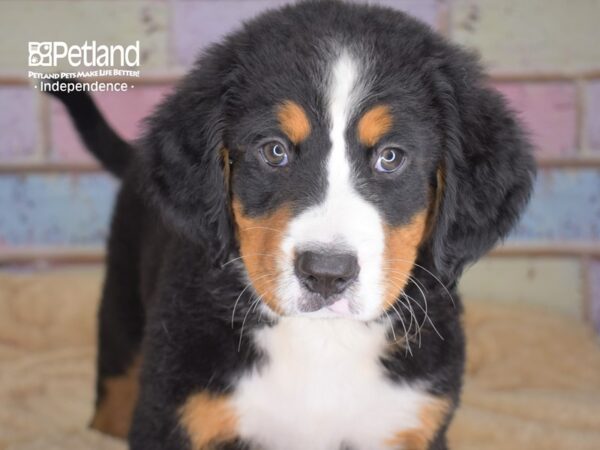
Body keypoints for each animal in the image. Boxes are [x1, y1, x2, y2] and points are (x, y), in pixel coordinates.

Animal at [51, 0, 536, 450]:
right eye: (274, 151)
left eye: (391, 157)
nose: (327, 273)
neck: (320, 340)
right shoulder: (175, 415)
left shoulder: (411, 419)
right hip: (123, 305)